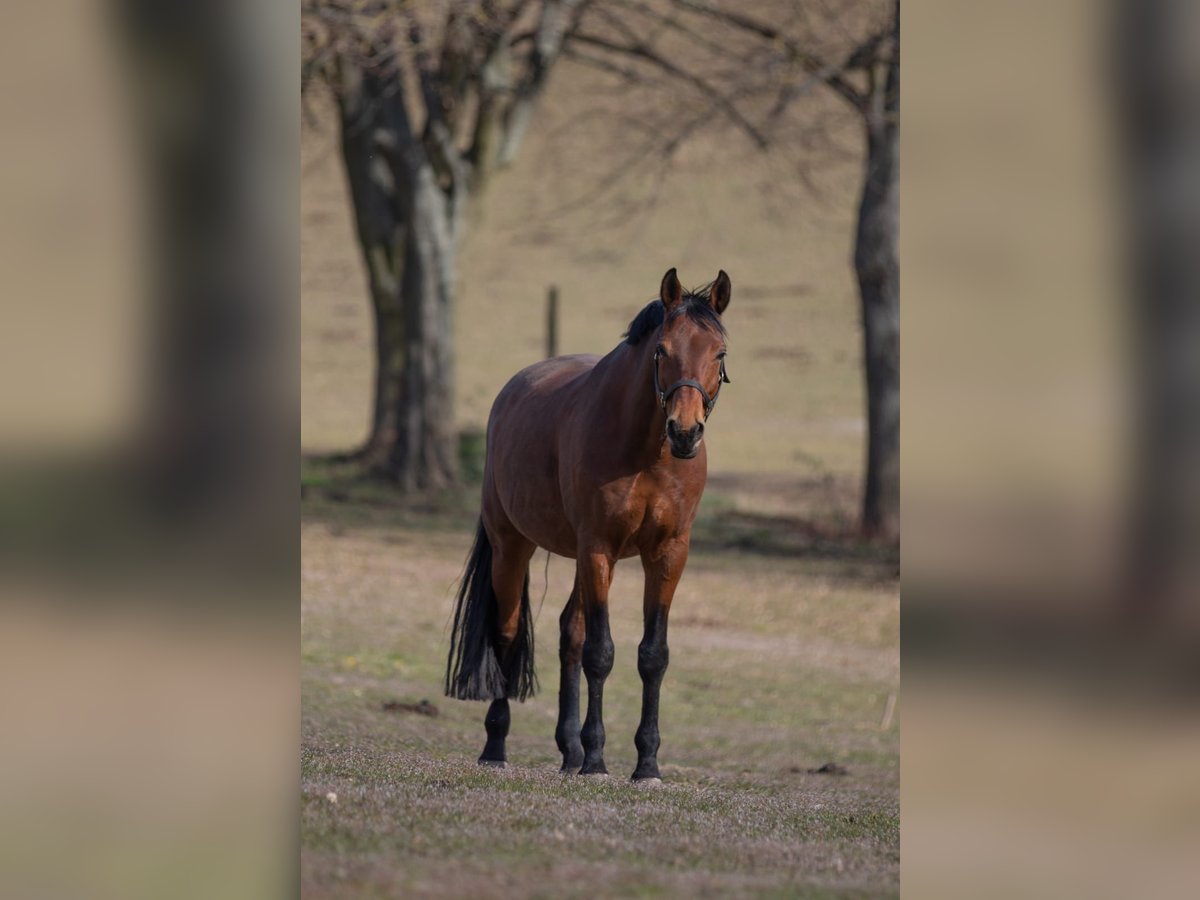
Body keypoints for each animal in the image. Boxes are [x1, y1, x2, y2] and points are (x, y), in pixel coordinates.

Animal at [446, 266, 729, 782]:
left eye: (718, 354)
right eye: (662, 350)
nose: (685, 431)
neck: (644, 449)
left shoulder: (668, 553)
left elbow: (652, 655)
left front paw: (646, 764)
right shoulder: (598, 546)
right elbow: (602, 653)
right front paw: (597, 760)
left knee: (569, 634)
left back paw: (569, 751)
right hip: (514, 545)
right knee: (508, 631)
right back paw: (497, 746)